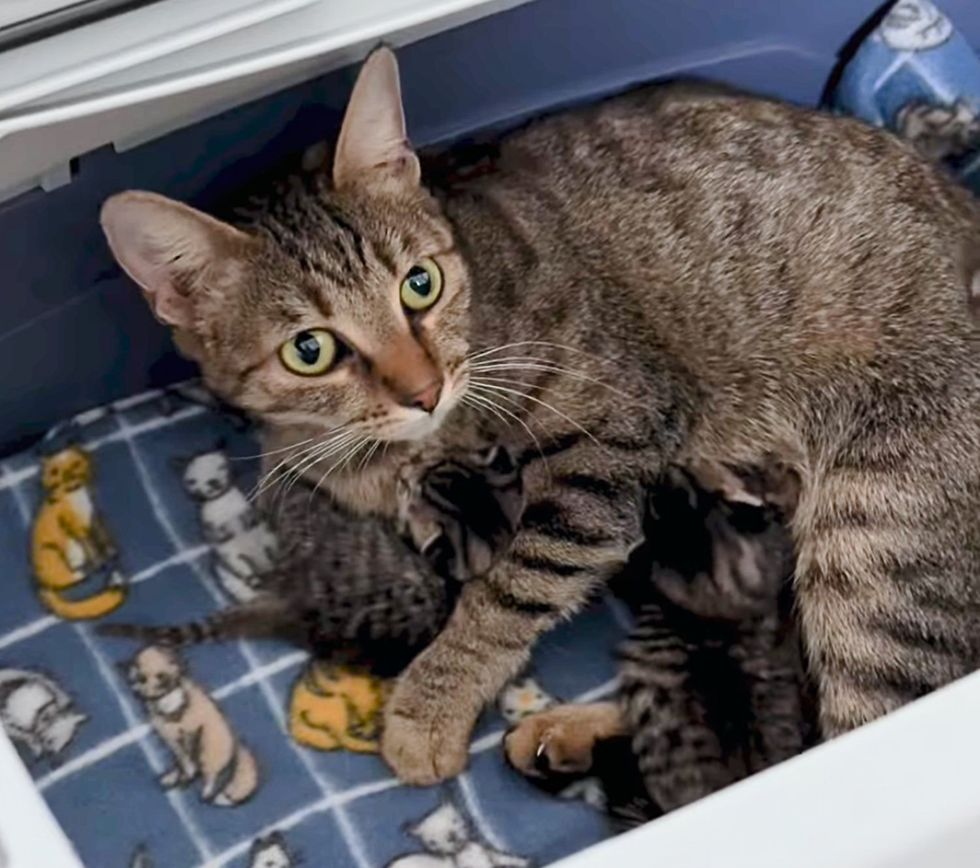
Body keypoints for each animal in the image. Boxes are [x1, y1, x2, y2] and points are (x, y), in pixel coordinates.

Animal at [99, 49, 980, 788]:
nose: (424, 389)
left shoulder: (610, 448)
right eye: (309, 351)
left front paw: (428, 708)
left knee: (848, 731)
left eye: (419, 284)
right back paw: (571, 735)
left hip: (876, 547)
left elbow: (508, 591)